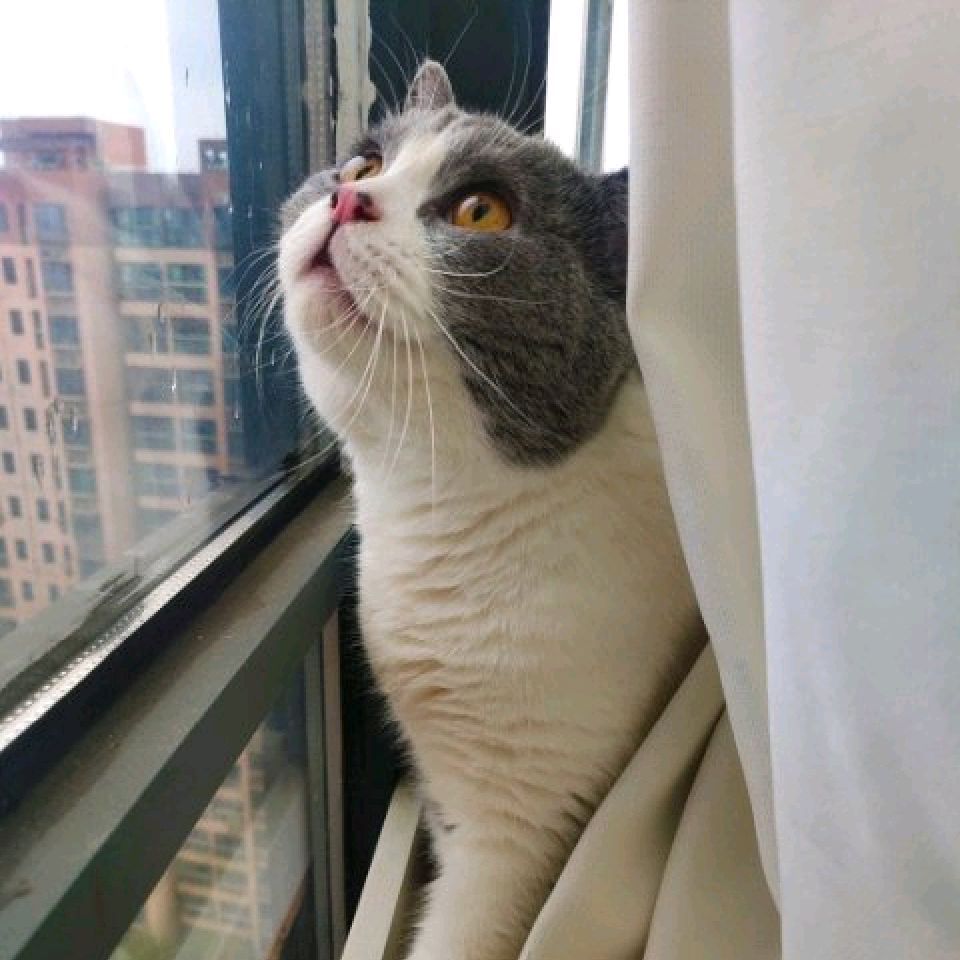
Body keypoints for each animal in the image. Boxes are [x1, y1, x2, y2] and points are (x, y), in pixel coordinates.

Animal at [279, 61, 703, 960]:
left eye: (481, 211)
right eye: (365, 162)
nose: (347, 197)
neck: (434, 510)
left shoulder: (523, 827)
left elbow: (459, 933)